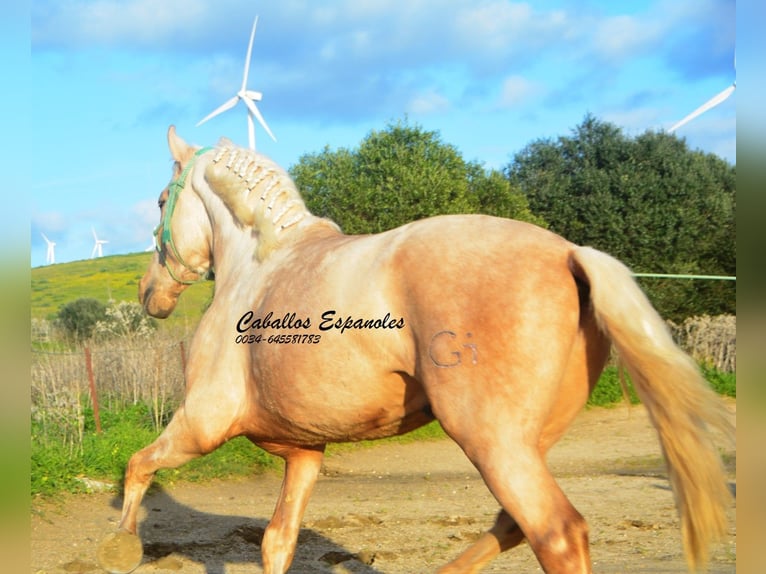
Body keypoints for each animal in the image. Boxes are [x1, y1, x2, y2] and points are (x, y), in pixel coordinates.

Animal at [98, 126, 734, 574]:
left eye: (161, 199)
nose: (150, 295)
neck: (257, 267)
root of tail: (571, 254)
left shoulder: (201, 424)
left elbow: (137, 466)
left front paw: (120, 547)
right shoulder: (304, 453)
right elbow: (278, 542)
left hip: (491, 440)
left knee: (556, 532)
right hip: (530, 440)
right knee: (512, 525)